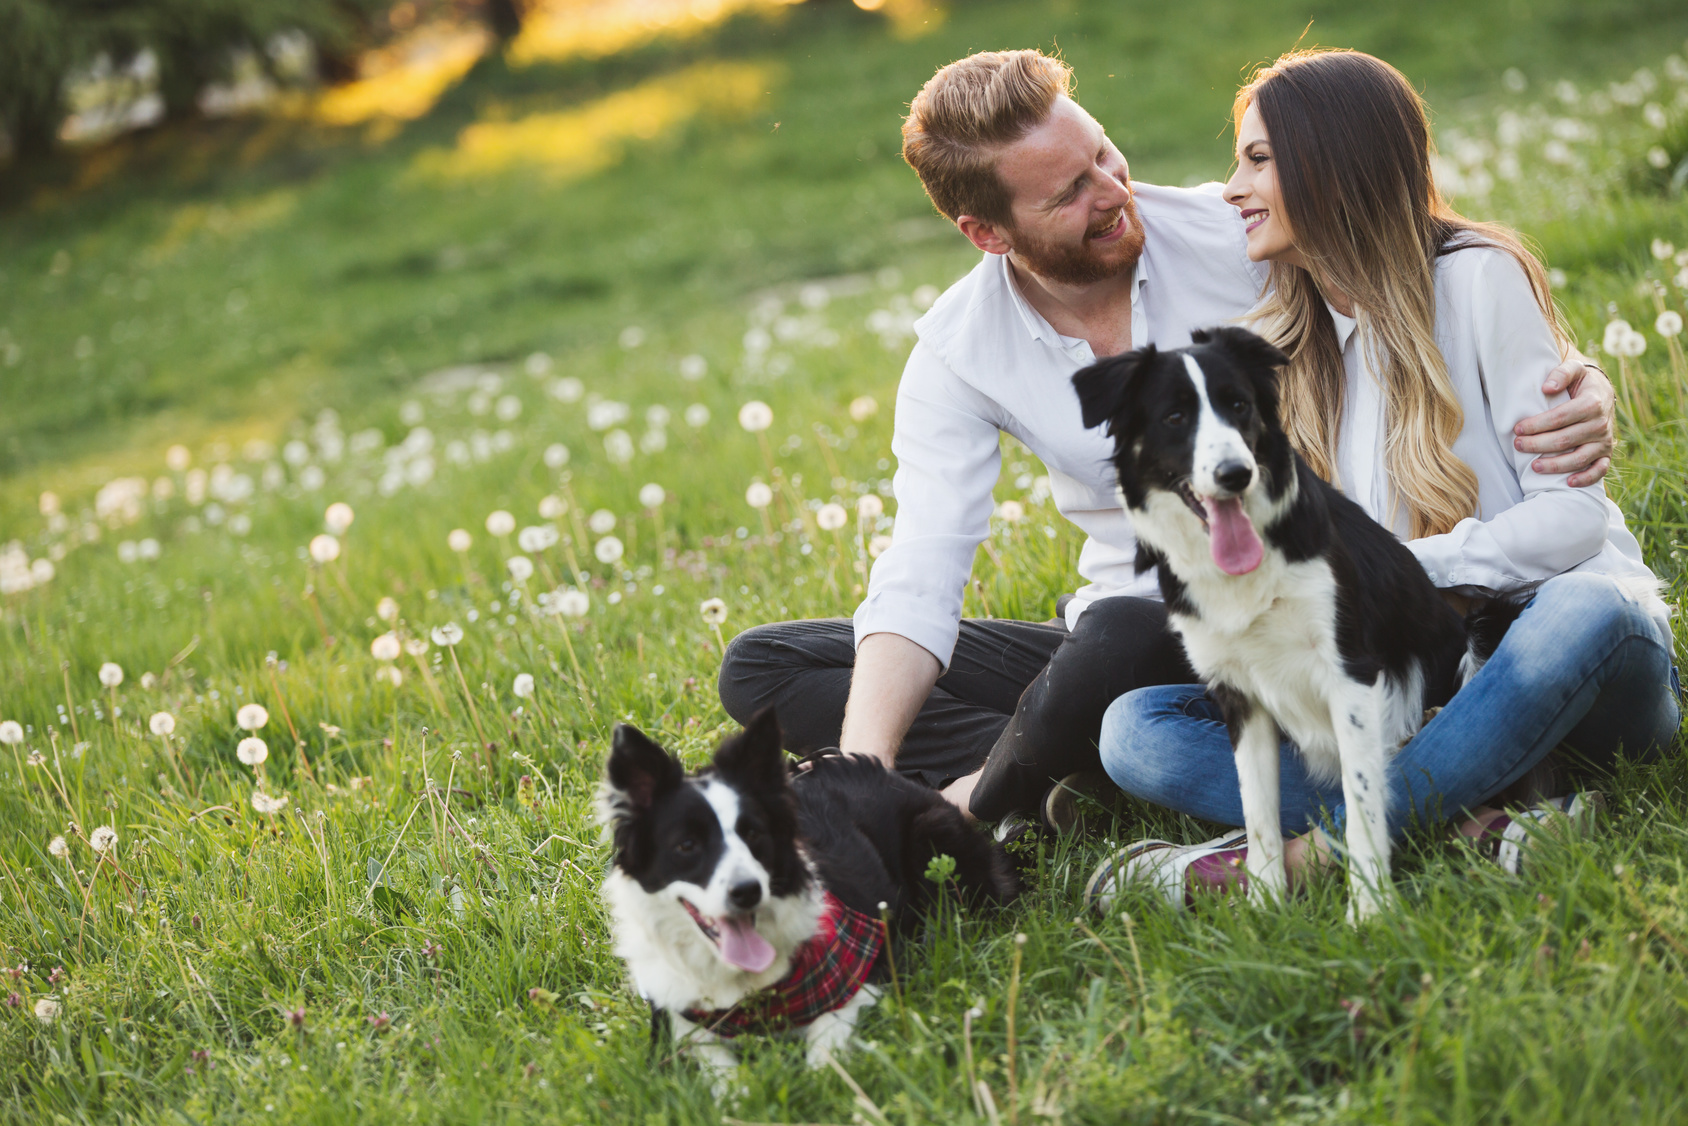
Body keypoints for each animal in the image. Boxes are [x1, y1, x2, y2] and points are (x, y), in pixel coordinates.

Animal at [600, 709, 1012, 1080]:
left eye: (754, 833)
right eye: (687, 845)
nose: (747, 892)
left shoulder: (867, 973)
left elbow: (823, 1046)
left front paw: (819, 1082)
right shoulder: (674, 1016)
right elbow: (712, 1059)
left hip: (934, 834)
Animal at [1073, 327, 1525, 925]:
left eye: (1238, 405)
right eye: (1174, 416)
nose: (1235, 474)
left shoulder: (1350, 674)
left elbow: (1361, 802)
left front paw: (1370, 910)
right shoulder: (1238, 692)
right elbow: (1258, 809)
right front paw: (1265, 905)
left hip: (1475, 638)